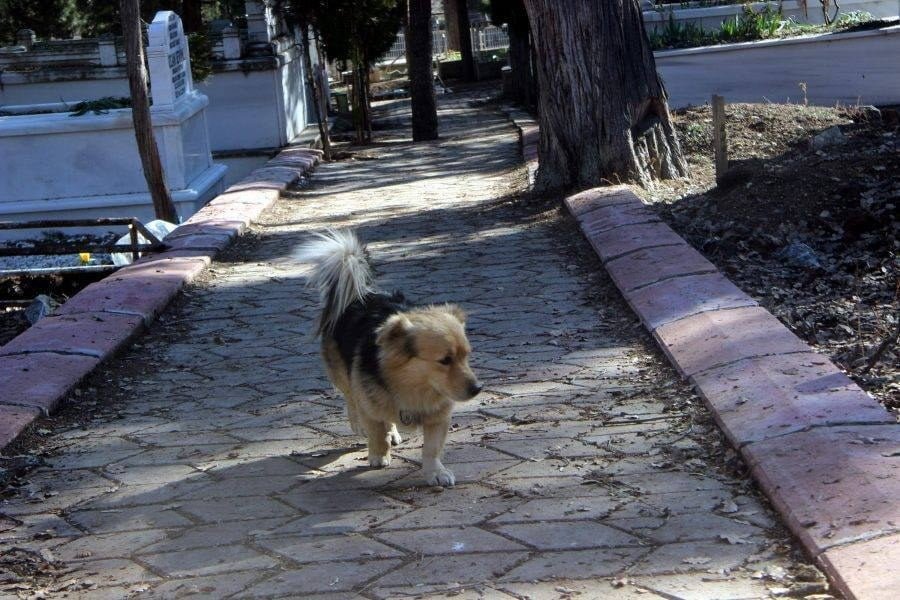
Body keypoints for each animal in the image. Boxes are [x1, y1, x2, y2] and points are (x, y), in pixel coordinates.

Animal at [298, 227, 482, 486]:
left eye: (466, 356)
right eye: (445, 360)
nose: (477, 388)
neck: (411, 386)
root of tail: (360, 294)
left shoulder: (439, 416)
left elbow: (432, 448)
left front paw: (435, 472)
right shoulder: (369, 401)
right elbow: (375, 431)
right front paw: (378, 455)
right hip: (342, 374)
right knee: (351, 398)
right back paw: (360, 423)